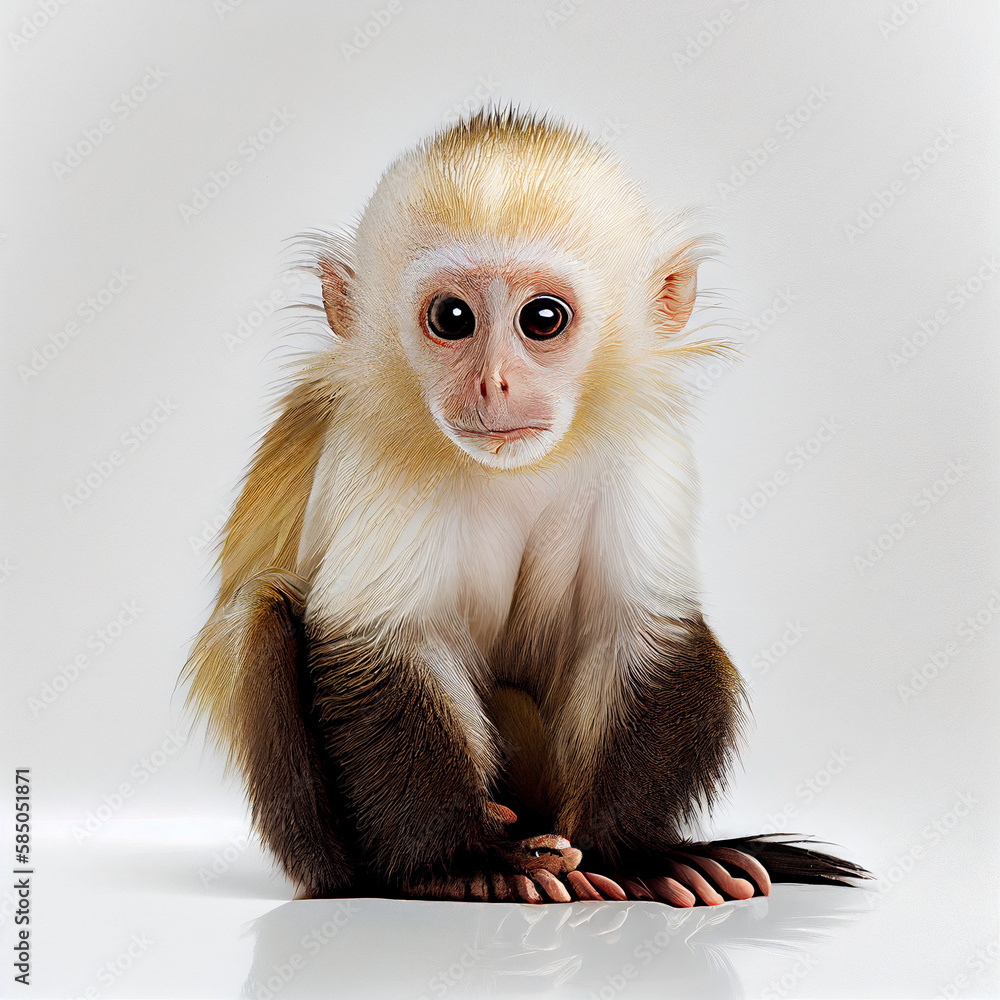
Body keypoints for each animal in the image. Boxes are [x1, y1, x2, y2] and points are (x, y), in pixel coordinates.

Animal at [184, 108, 866, 906]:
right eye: (452, 318)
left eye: (543, 318)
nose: (494, 383)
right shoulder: (375, 444)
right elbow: (387, 639)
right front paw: (464, 862)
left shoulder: (642, 443)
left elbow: (639, 627)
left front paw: (635, 857)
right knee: (261, 616)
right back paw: (381, 877)